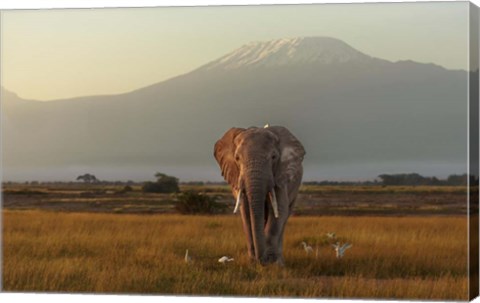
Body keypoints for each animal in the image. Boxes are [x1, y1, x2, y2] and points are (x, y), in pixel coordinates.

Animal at [213, 126, 304, 266]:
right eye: (237, 158)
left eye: (273, 157)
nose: (261, 260)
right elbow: (246, 212)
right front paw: (252, 262)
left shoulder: (280, 175)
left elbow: (279, 210)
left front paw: (273, 264)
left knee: (286, 215)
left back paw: (280, 261)